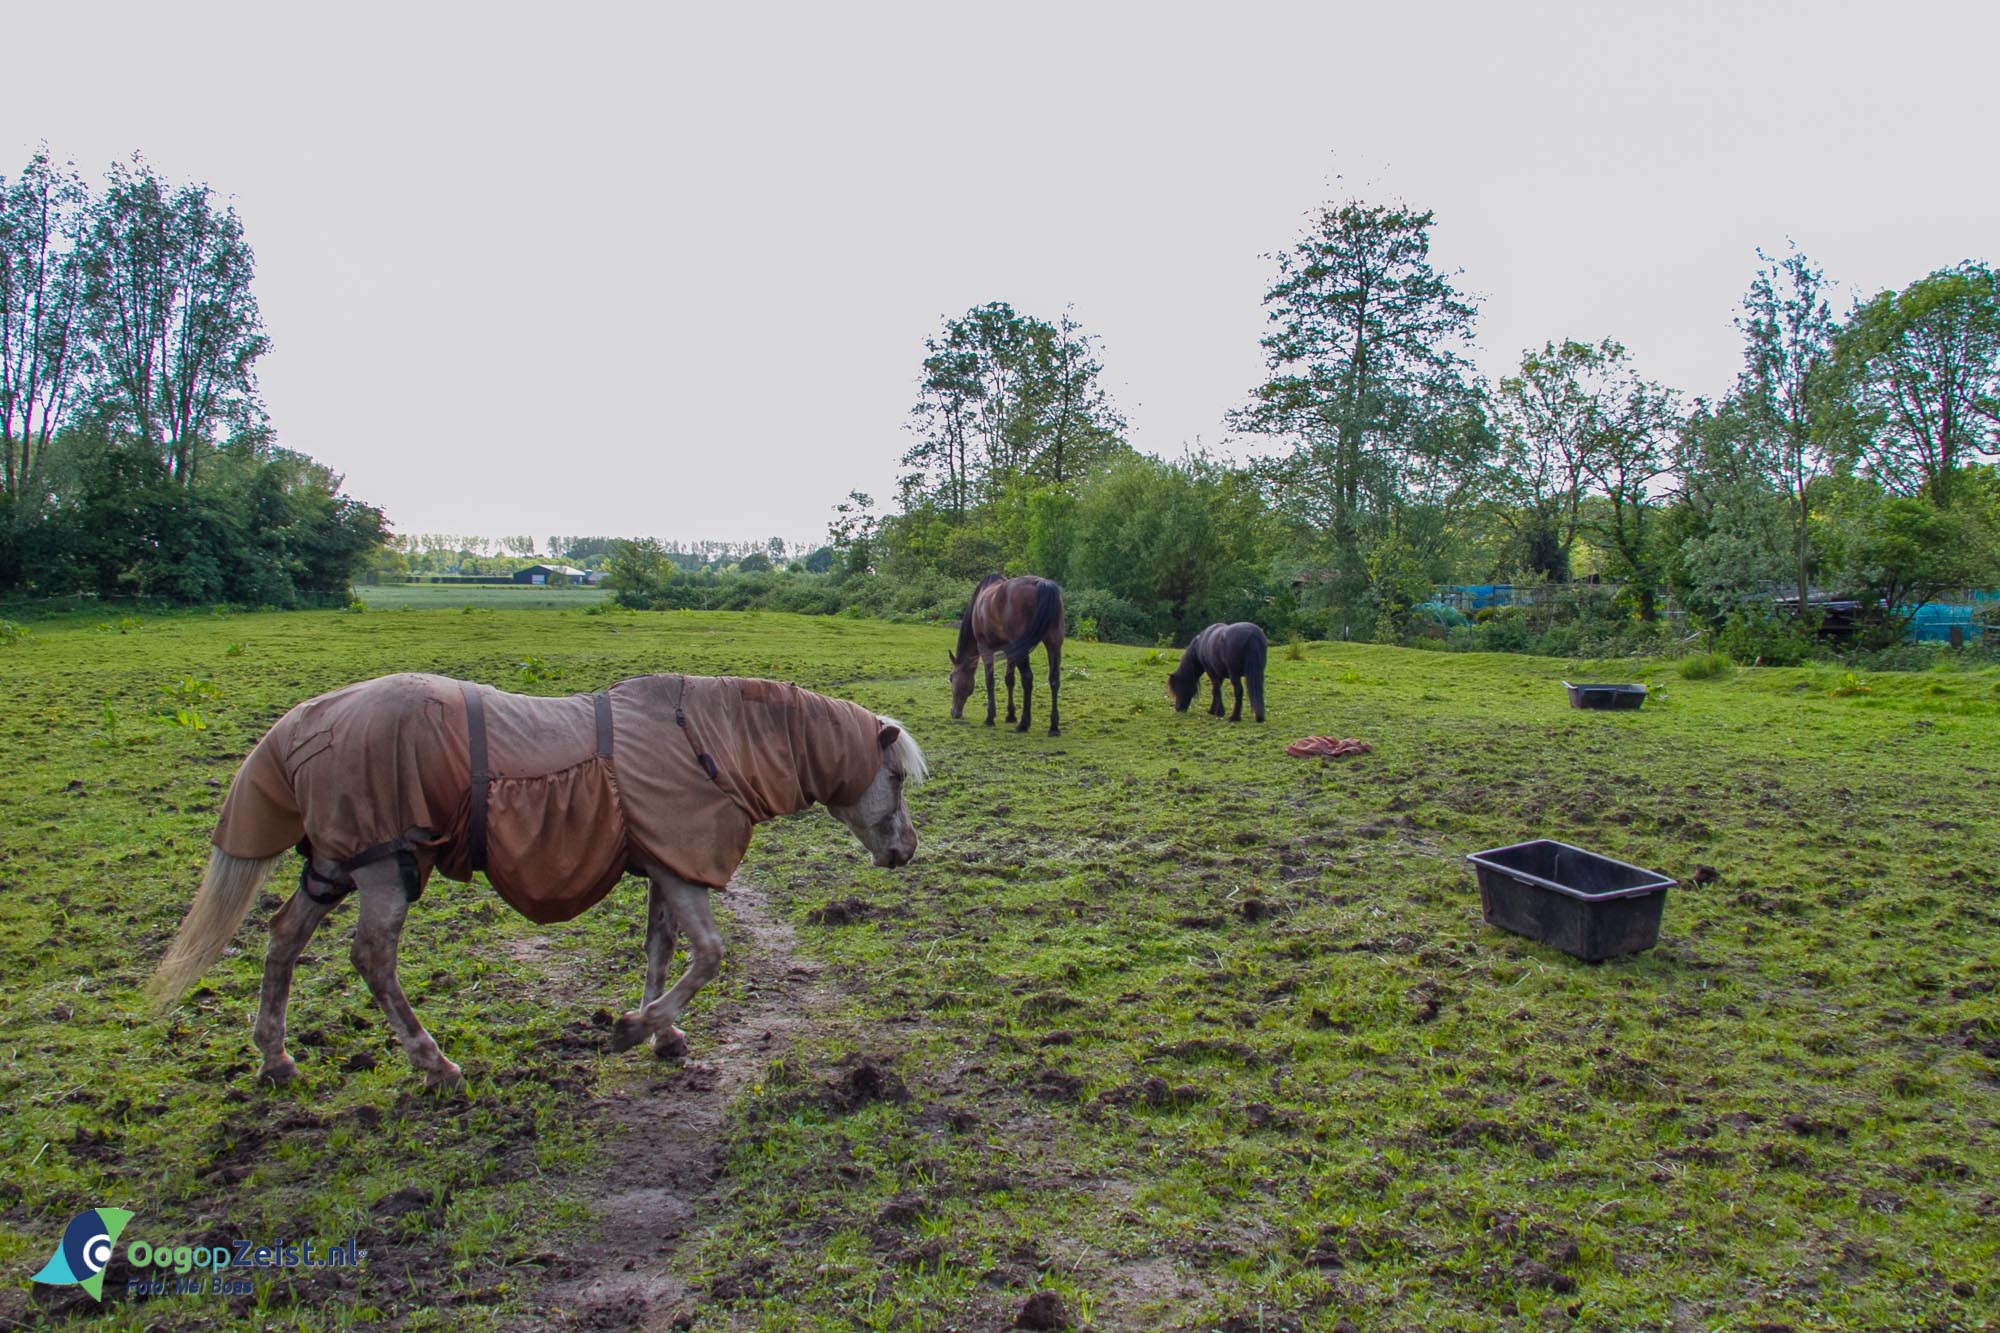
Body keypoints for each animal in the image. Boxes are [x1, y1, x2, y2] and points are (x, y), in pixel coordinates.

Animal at [147, 671, 926, 1088]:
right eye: (892, 777)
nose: (908, 850)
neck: (707, 744)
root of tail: (304, 723)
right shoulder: (684, 868)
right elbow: (708, 957)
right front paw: (633, 1029)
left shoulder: (666, 865)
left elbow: (662, 950)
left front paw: (662, 1034)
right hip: (382, 869)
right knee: (372, 958)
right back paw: (433, 1063)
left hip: (335, 866)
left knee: (283, 938)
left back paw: (275, 1057)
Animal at [948, 573, 1064, 735]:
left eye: (951, 678)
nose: (954, 712)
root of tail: (1041, 583)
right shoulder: (1009, 650)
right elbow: (1009, 679)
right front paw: (1010, 715)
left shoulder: (985, 648)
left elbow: (990, 680)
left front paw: (990, 717)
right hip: (1054, 644)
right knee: (1054, 679)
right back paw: (1053, 727)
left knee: (1027, 678)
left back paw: (1024, 724)